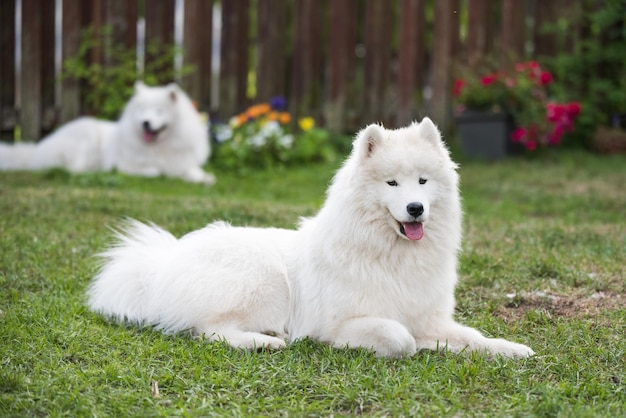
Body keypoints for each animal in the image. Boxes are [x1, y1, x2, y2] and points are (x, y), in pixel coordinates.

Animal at [0, 81, 214, 185]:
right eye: (141, 110)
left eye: (159, 111)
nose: (145, 123)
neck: (160, 147)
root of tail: (38, 149)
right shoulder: (123, 165)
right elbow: (155, 171)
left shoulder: (183, 163)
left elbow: (194, 172)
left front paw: (205, 179)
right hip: (86, 138)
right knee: (72, 168)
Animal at [86, 117, 532, 360]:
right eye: (392, 183)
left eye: (422, 181)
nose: (416, 208)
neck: (392, 254)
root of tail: (160, 267)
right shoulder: (343, 322)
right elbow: (400, 337)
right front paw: (417, 346)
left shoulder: (431, 316)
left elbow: (473, 337)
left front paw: (511, 349)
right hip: (264, 279)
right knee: (209, 330)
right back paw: (265, 342)